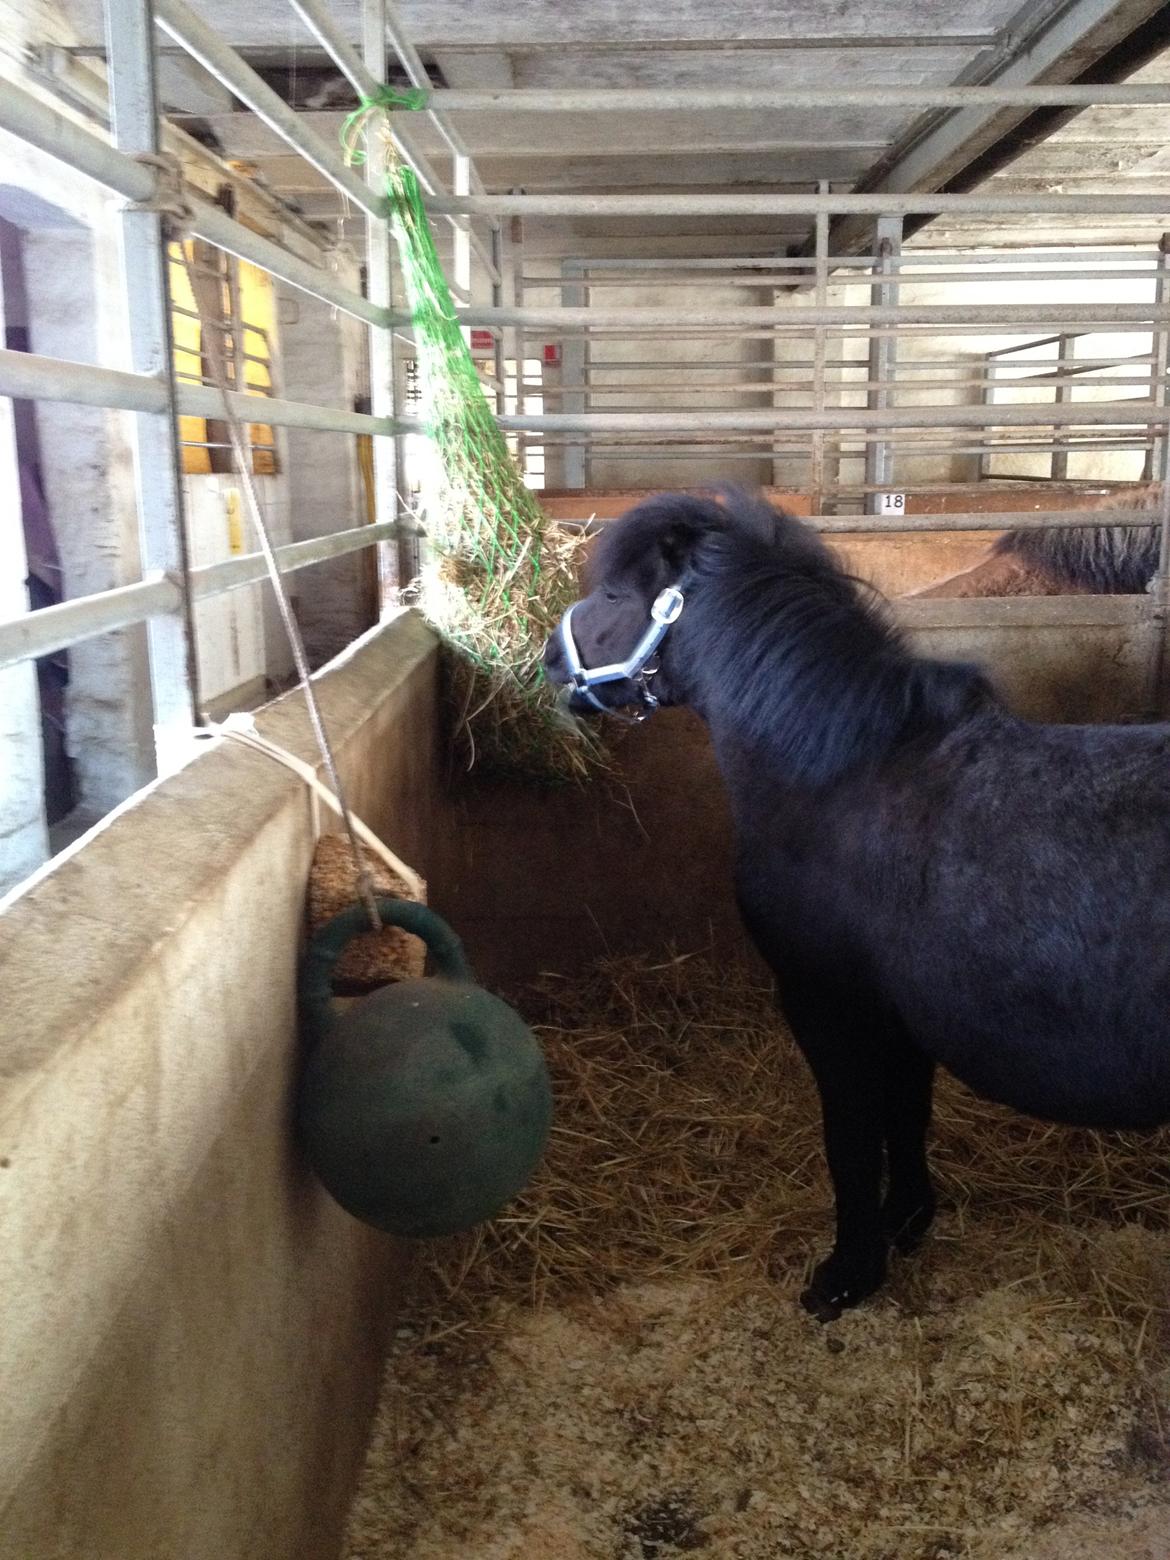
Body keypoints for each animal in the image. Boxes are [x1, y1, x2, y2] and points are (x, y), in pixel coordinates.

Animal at [542, 489, 1170, 1316]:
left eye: (615, 595)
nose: (550, 660)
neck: (841, 777)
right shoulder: (901, 1014)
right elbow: (906, 1113)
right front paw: (906, 1220)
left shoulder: (828, 1005)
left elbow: (850, 1136)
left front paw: (847, 1274)